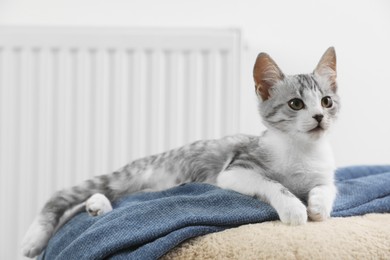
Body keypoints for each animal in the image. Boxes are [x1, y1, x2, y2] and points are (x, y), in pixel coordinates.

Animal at [22, 47, 338, 258]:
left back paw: (97, 206)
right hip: (129, 175)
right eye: (296, 104)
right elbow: (273, 183)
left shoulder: (324, 173)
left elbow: (328, 187)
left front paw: (319, 206)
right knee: (64, 196)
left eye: (327, 101)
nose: (319, 117)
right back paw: (34, 238)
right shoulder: (235, 170)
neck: (301, 151)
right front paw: (294, 208)